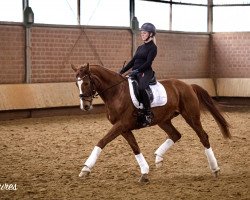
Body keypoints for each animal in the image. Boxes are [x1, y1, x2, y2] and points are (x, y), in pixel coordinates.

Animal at [72, 63, 230, 182]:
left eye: (86, 82)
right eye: (76, 84)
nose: (85, 106)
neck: (116, 92)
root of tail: (188, 86)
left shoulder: (121, 125)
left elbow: (101, 141)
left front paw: (85, 168)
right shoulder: (123, 128)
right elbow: (135, 148)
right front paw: (144, 172)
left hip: (191, 117)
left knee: (203, 136)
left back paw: (215, 169)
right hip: (163, 120)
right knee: (176, 135)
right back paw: (158, 158)